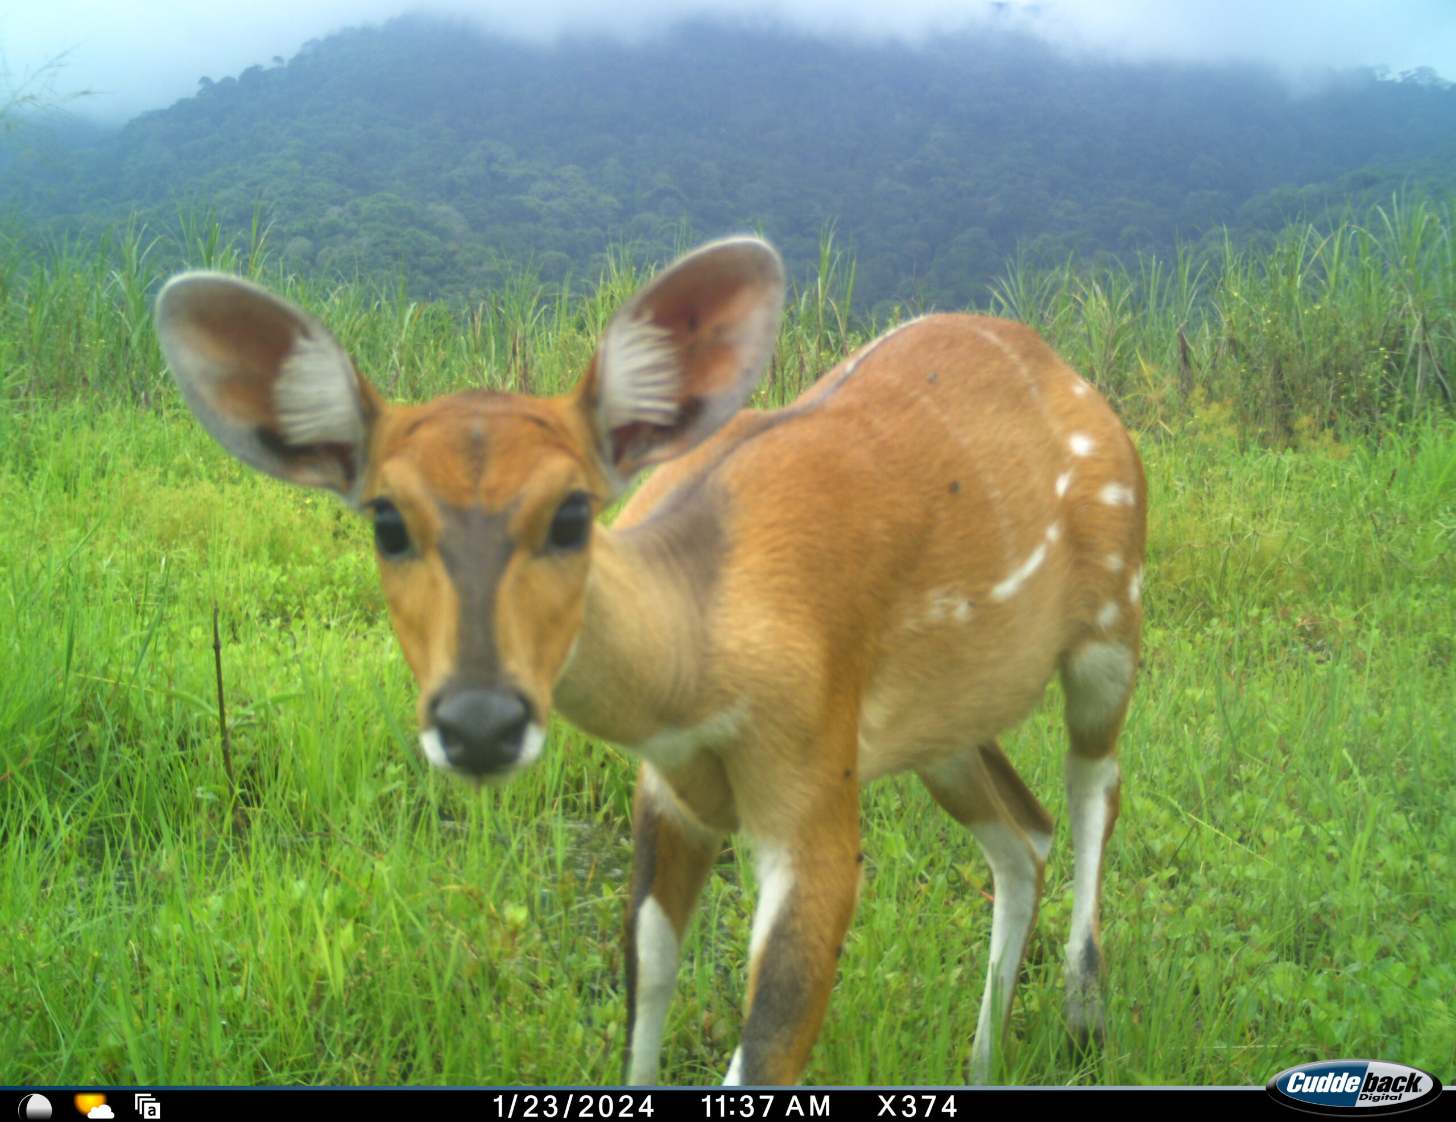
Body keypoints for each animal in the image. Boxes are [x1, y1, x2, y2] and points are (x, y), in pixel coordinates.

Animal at [154, 236, 1145, 1086]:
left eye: (571, 512)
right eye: (387, 520)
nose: (481, 723)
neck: (697, 661)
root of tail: (1071, 374)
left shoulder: (812, 784)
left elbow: (763, 1045)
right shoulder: (670, 789)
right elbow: (649, 977)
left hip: (1112, 618)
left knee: (1094, 783)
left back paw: (1084, 1014)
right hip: (944, 724)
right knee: (1023, 833)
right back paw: (982, 1061)